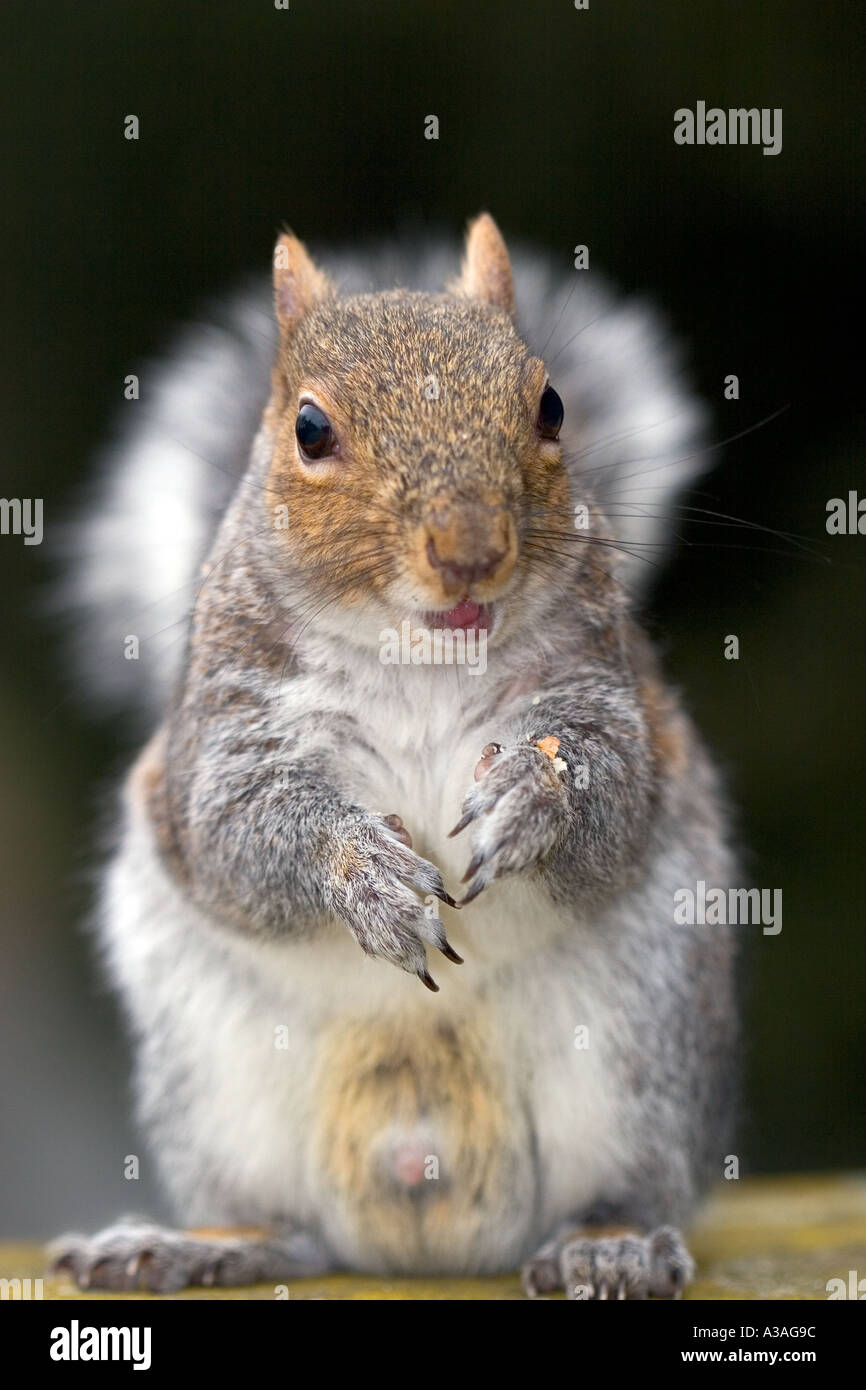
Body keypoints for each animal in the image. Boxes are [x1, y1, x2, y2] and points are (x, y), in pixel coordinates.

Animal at [48, 214, 739, 1289]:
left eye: (551, 405)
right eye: (309, 429)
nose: (470, 551)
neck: (422, 657)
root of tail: (426, 1208)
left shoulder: (606, 691)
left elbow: (615, 789)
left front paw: (533, 796)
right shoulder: (226, 732)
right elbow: (237, 832)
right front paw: (365, 875)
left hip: (640, 1043)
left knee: (616, 1185)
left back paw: (611, 1243)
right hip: (217, 1077)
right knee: (288, 1225)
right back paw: (195, 1245)